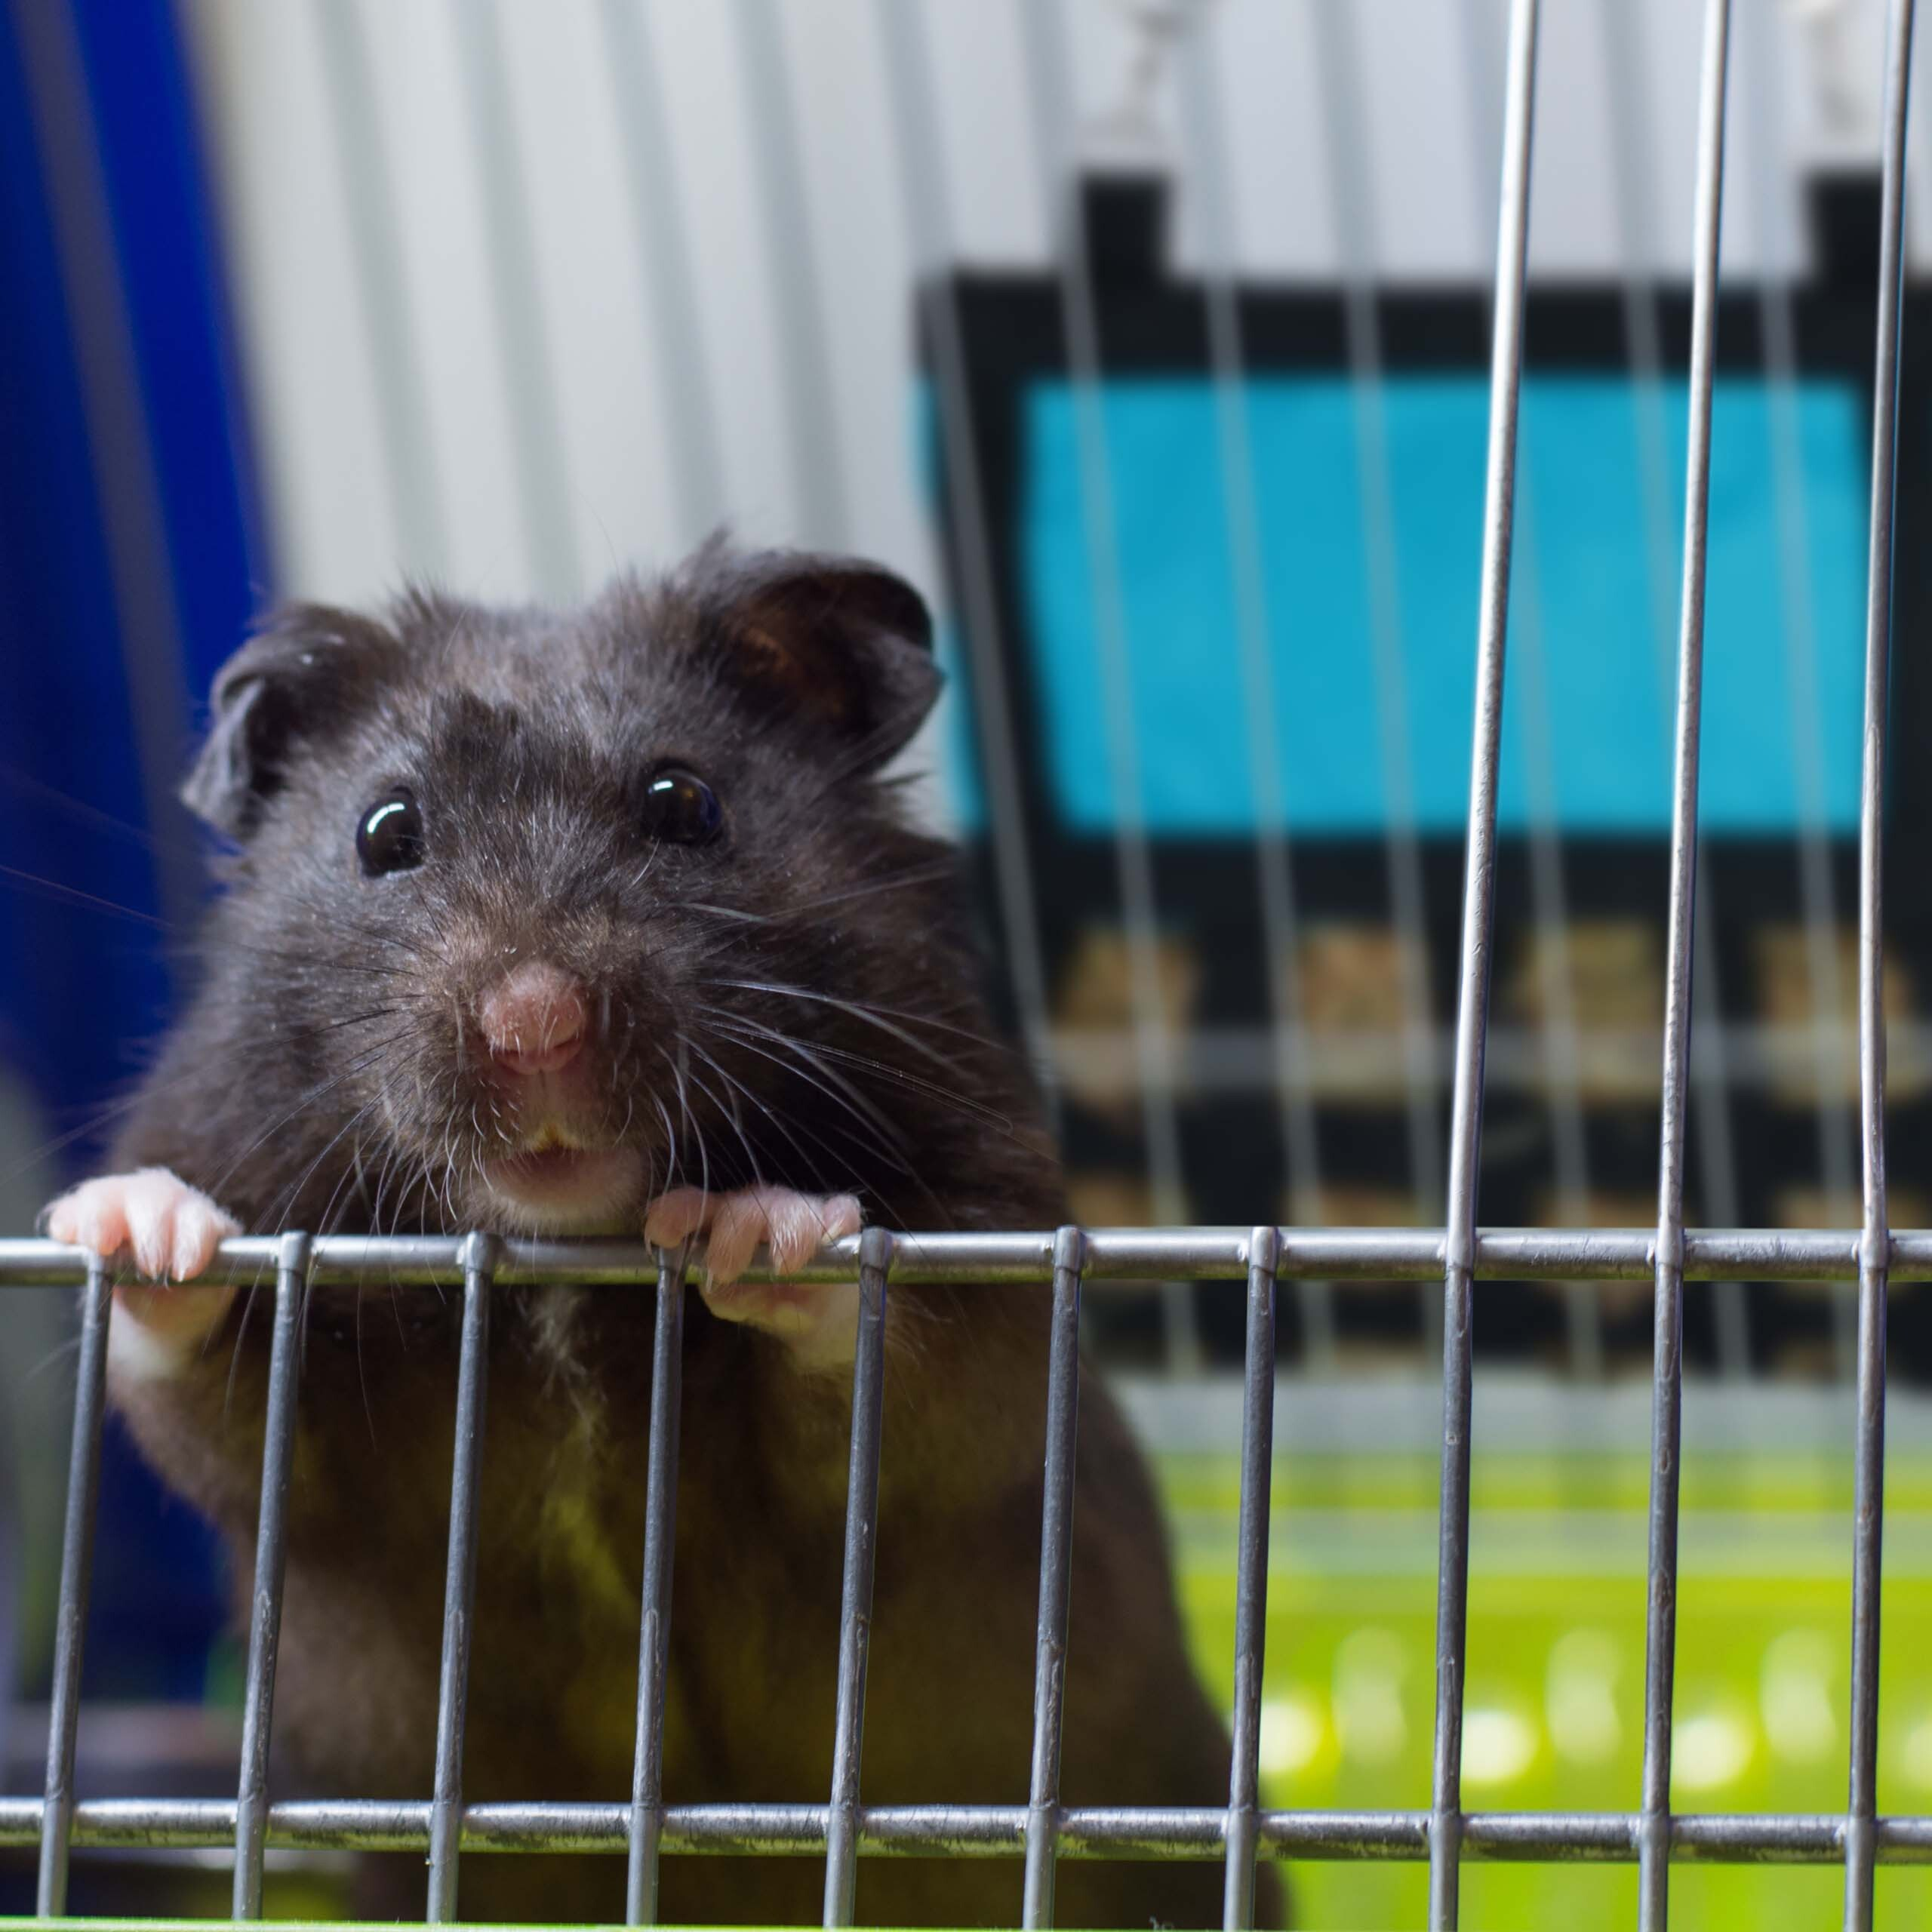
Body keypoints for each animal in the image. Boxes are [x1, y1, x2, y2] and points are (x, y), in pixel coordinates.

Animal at [43, 543, 1282, 1928]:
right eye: (384, 833)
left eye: (685, 804)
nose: (534, 1027)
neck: (566, 1263)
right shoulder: (306, 1449)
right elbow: (208, 1403)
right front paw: (133, 1223)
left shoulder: (996, 1269)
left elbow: (917, 1373)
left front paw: (758, 1231)